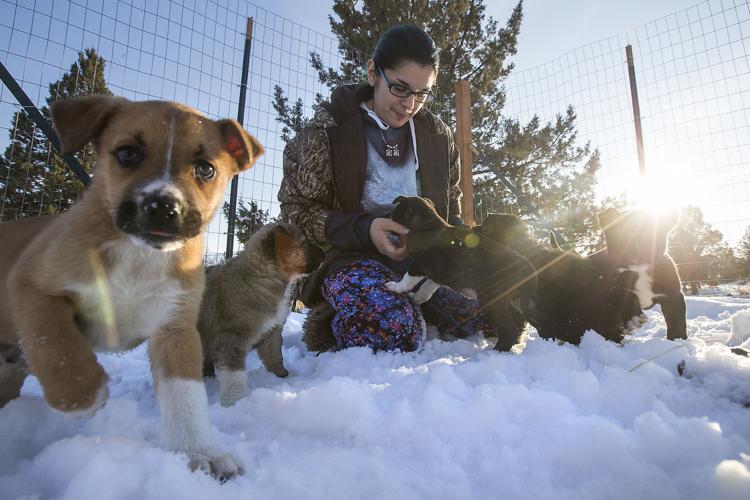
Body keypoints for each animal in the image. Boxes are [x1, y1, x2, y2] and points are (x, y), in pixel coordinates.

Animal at [0, 95, 264, 482]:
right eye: (127, 154)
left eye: (205, 169)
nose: (164, 206)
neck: (139, 254)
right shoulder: (31, 284)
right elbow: (56, 343)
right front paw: (82, 396)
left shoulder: (175, 328)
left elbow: (186, 398)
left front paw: (200, 452)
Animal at [197, 222, 324, 406]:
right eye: (304, 241)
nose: (324, 252)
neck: (261, 278)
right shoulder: (232, 339)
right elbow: (235, 377)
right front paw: (235, 401)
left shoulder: (271, 332)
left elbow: (275, 358)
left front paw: (283, 376)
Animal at [592, 206, 692, 340]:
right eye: (621, 235)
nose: (636, 247)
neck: (639, 269)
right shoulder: (612, 288)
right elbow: (625, 296)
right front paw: (633, 318)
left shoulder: (673, 296)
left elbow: (676, 321)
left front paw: (678, 340)